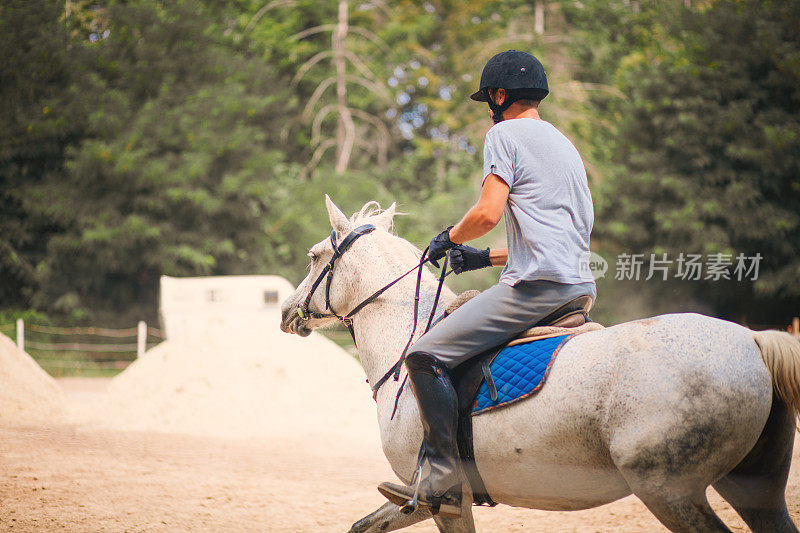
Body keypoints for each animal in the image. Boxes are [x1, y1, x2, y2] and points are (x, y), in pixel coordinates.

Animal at [280, 197, 800, 528]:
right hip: (756, 488)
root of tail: (752, 340)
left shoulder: (441, 499)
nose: (287, 311)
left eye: (315, 256)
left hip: (670, 490)